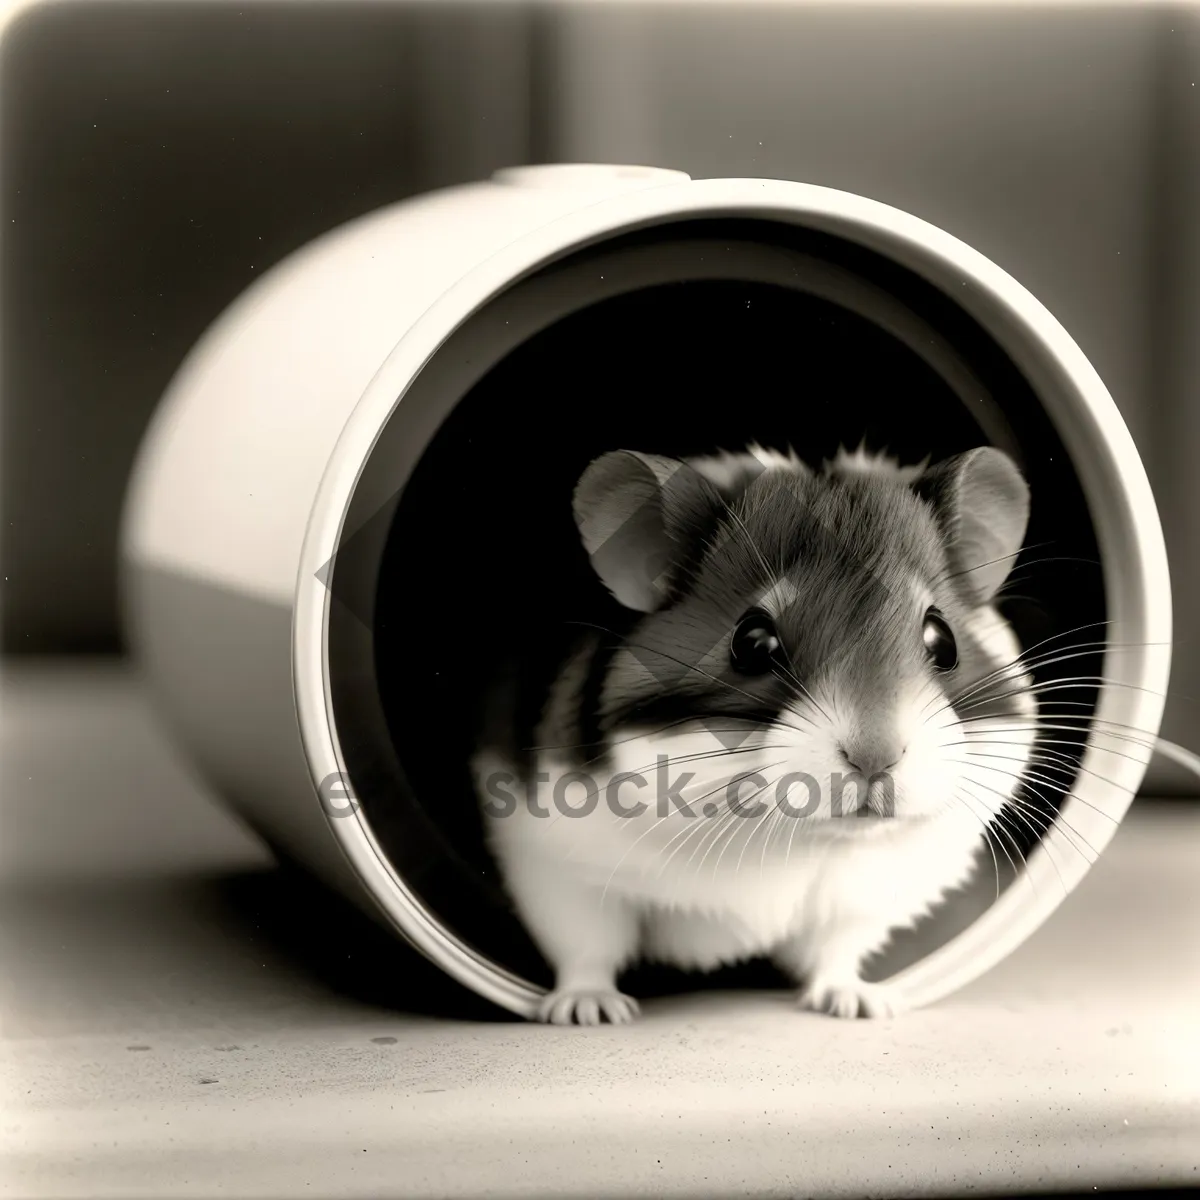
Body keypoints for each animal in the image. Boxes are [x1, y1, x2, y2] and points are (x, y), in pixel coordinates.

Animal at [472, 441, 1036, 1022]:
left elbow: (836, 951)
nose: (875, 759)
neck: (793, 838)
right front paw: (593, 1012)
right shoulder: (555, 868)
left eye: (942, 640)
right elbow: (587, 947)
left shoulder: (862, 903)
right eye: (752, 643)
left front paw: (861, 1005)